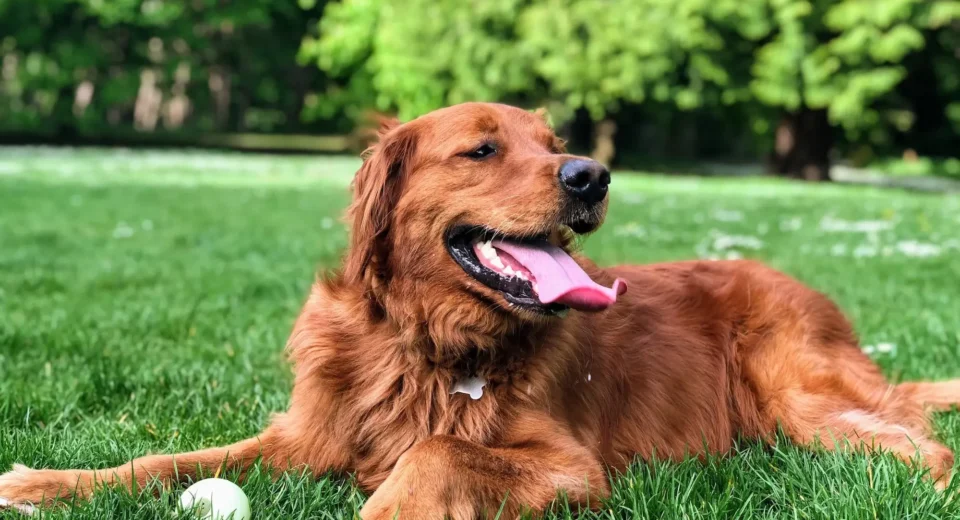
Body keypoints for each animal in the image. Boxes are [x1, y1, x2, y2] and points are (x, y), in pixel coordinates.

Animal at [1, 102, 960, 520]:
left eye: (554, 143)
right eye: (483, 149)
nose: (592, 175)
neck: (424, 343)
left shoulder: (575, 469)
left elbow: (435, 450)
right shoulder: (304, 437)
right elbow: (163, 459)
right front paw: (45, 482)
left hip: (797, 395)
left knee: (925, 447)